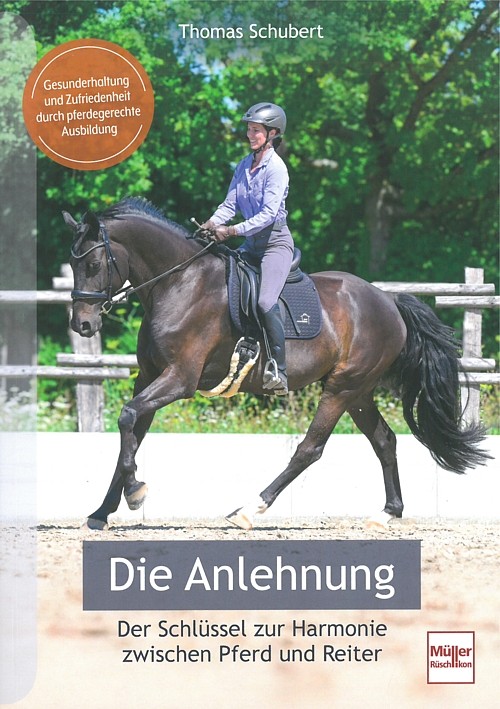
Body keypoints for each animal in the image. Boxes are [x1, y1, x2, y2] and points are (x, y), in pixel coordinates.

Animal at [63, 197, 489, 531]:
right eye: (72, 264)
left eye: (95, 264)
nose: (82, 325)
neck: (179, 283)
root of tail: (389, 302)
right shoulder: (150, 378)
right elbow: (131, 429)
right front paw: (103, 510)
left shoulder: (179, 379)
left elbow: (127, 418)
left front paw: (135, 492)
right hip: (359, 393)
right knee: (384, 440)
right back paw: (386, 513)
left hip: (343, 387)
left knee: (310, 448)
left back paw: (250, 508)